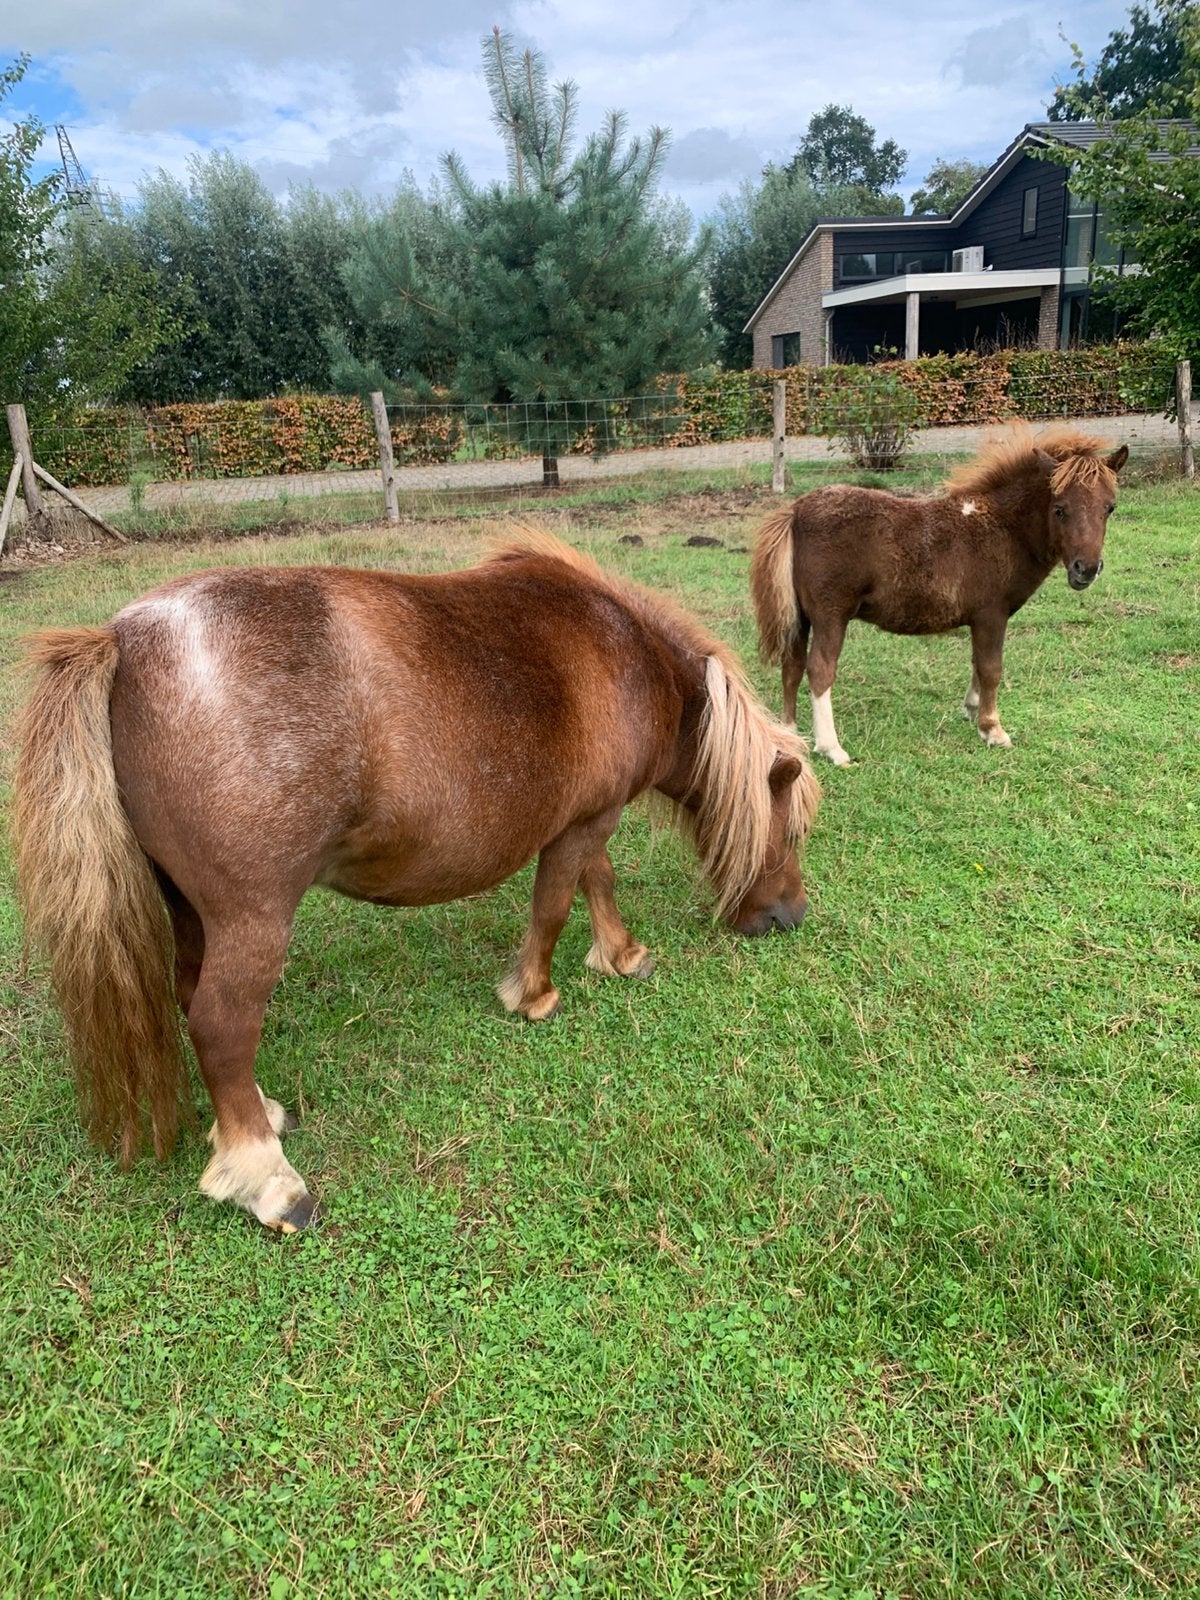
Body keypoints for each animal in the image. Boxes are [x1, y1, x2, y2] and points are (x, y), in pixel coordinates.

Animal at [13, 529, 820, 1232]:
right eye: (794, 831)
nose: (790, 917)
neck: (628, 655)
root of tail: (123, 642)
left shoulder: (584, 821)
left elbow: (598, 884)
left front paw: (621, 954)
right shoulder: (586, 822)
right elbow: (556, 905)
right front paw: (535, 993)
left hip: (189, 908)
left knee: (191, 997)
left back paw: (257, 1114)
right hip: (252, 918)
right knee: (220, 1024)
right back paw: (267, 1177)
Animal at [750, 428, 1129, 764]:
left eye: (1109, 508)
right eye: (1060, 508)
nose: (1085, 570)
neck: (1002, 528)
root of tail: (797, 511)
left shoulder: (981, 620)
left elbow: (978, 663)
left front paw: (973, 711)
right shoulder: (992, 614)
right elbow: (991, 668)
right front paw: (993, 729)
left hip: (801, 617)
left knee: (792, 666)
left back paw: (790, 734)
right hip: (831, 616)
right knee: (819, 670)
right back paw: (831, 748)